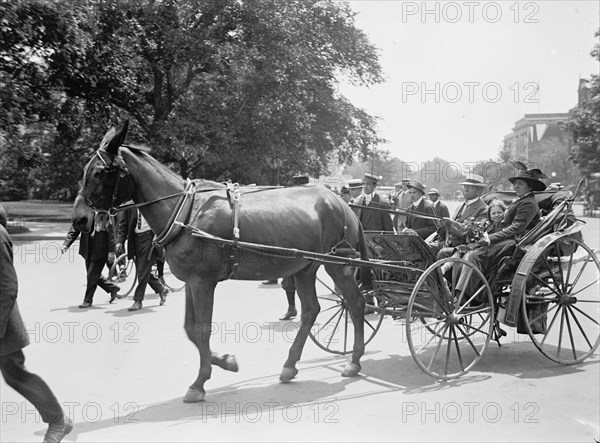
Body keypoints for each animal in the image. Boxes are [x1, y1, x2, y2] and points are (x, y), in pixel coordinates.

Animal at [72, 120, 368, 402]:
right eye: (85, 170)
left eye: (99, 172)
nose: (80, 219)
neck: (184, 211)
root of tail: (340, 202)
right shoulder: (192, 281)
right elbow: (190, 329)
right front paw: (224, 361)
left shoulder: (204, 281)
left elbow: (202, 329)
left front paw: (200, 382)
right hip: (306, 266)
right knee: (310, 311)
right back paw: (290, 364)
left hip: (338, 263)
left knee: (354, 302)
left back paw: (354, 360)